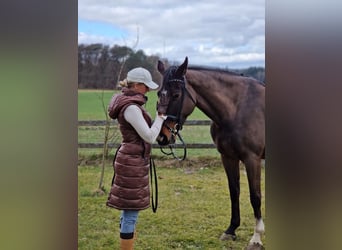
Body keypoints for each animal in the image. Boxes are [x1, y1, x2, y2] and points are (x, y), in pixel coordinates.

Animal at [156, 57, 266, 248]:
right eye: (158, 94)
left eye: (176, 95)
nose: (163, 136)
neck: (237, 110)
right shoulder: (228, 157)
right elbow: (234, 191)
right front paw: (231, 230)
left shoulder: (252, 159)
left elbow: (255, 196)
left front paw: (256, 238)